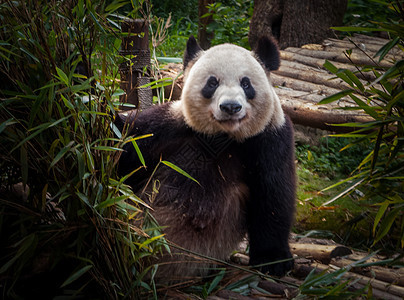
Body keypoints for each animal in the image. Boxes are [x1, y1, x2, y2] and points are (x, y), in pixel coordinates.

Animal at [118, 35, 296, 282]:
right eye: (212, 83)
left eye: (246, 84)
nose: (231, 107)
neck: (223, 137)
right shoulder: (169, 127)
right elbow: (126, 143)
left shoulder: (269, 139)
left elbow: (273, 196)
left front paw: (273, 261)